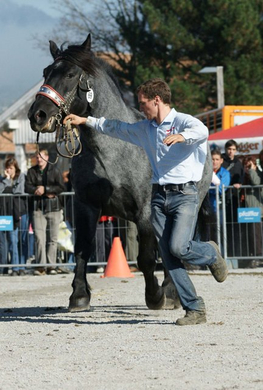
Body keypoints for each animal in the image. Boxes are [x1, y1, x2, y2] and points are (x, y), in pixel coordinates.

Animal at [27, 35, 212, 312]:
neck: (111, 152)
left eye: (70, 74)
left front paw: (154, 296)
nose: (37, 115)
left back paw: (170, 293)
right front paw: (78, 296)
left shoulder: (145, 212)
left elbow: (146, 258)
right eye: (45, 72)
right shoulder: (85, 206)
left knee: (173, 246)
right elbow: (82, 250)